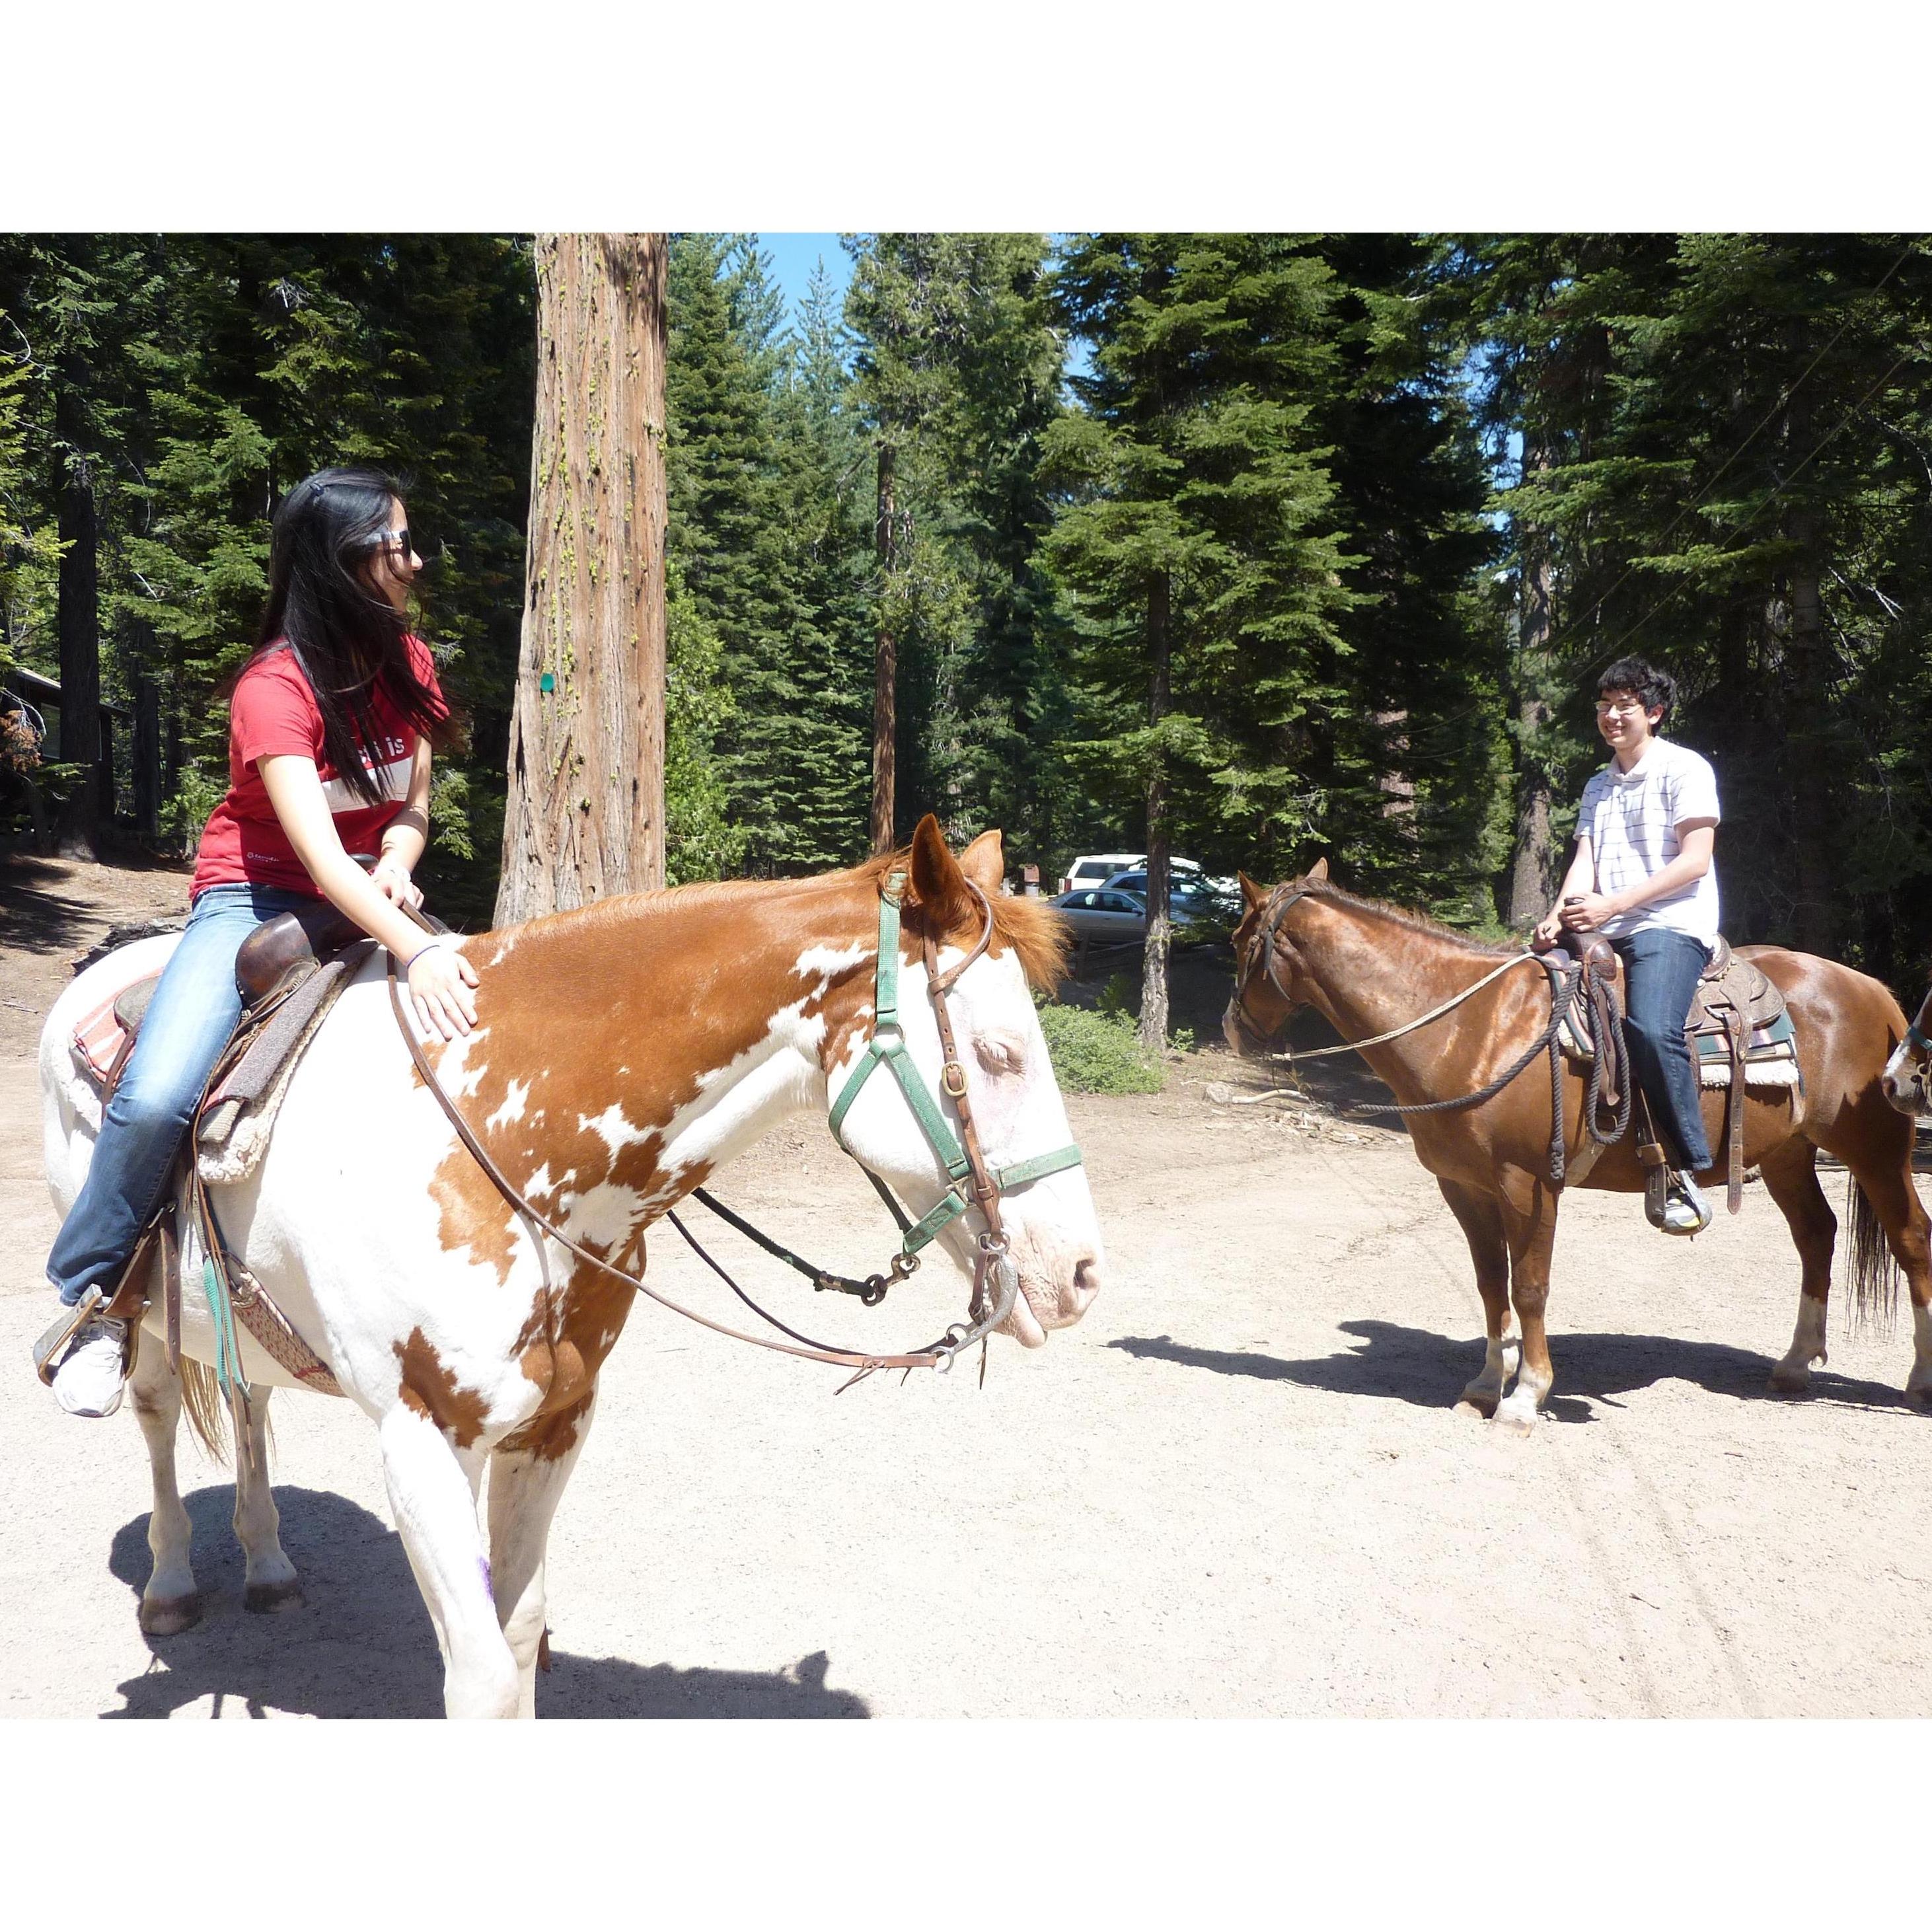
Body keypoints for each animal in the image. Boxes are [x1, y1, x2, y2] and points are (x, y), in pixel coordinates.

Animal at [41, 823, 1105, 1715]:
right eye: (999, 1053)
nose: (1083, 1272)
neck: (501, 1138)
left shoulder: (556, 1421)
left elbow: (517, 1641)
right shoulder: (420, 1440)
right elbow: (477, 1678)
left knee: (249, 1400)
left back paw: (268, 1566)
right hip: (144, 1305)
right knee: (158, 1414)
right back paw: (172, 1582)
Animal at [1220, 869, 1932, 1429]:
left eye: (1238, 942)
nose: (1231, 1028)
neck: (1469, 1027)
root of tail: (1871, 989)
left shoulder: (1528, 1184)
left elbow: (1530, 1286)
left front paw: (1525, 1396)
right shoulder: (1463, 1186)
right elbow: (1489, 1282)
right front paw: (1485, 1385)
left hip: (1873, 1148)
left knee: (1910, 1239)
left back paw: (1918, 1382)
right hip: (1788, 1152)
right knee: (1815, 1234)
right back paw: (1792, 1365)